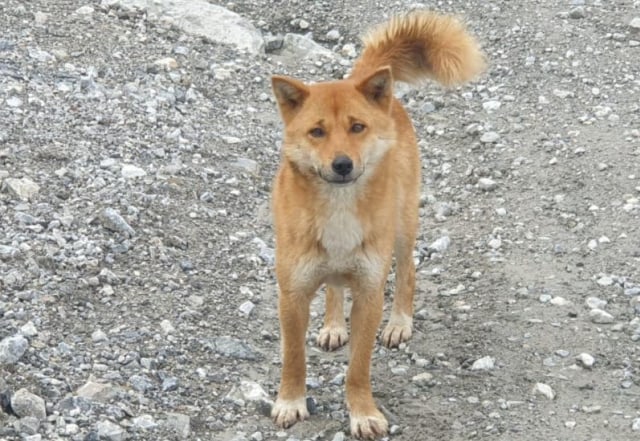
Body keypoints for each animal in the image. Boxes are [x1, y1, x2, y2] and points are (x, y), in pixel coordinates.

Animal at [268, 10, 484, 436]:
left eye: (357, 127)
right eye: (317, 131)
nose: (342, 164)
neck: (338, 208)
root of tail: (362, 79)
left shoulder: (369, 292)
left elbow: (359, 367)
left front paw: (363, 413)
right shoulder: (292, 294)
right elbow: (294, 357)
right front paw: (291, 401)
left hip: (402, 227)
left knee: (408, 272)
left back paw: (399, 322)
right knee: (335, 287)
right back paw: (334, 325)